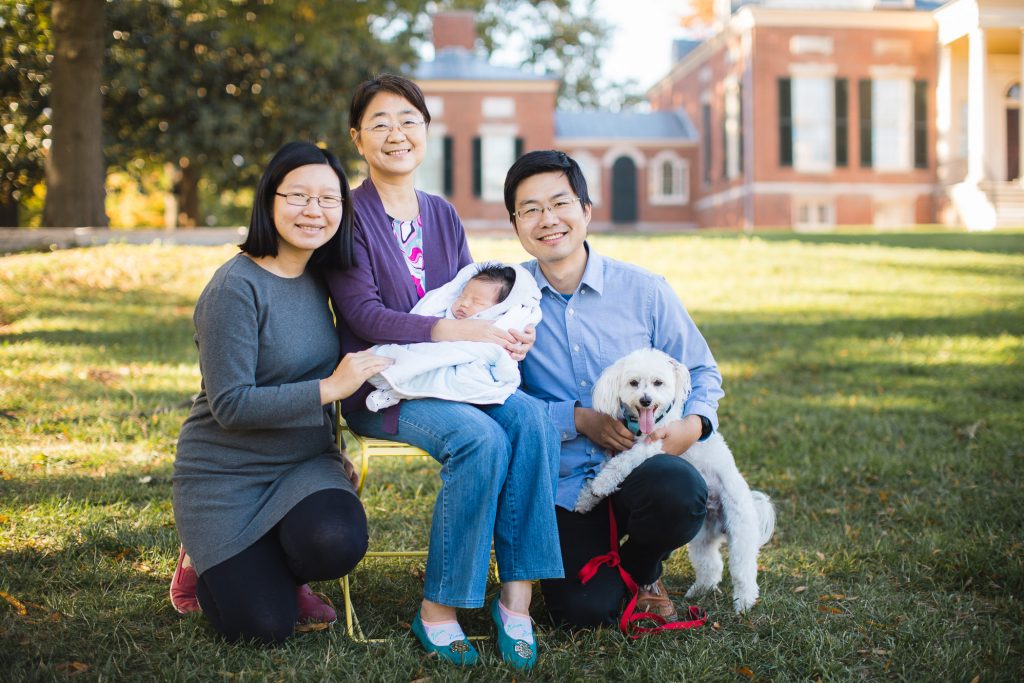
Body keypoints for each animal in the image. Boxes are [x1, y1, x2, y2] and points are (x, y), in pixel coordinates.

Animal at [577, 350, 774, 610]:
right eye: (633, 383)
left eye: (658, 383)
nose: (646, 400)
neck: (643, 426)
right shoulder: (616, 448)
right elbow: (604, 467)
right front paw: (587, 498)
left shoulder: (653, 446)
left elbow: (621, 464)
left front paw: (601, 484)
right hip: (703, 536)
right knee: (711, 564)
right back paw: (701, 590)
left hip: (740, 529)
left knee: (743, 569)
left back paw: (743, 602)